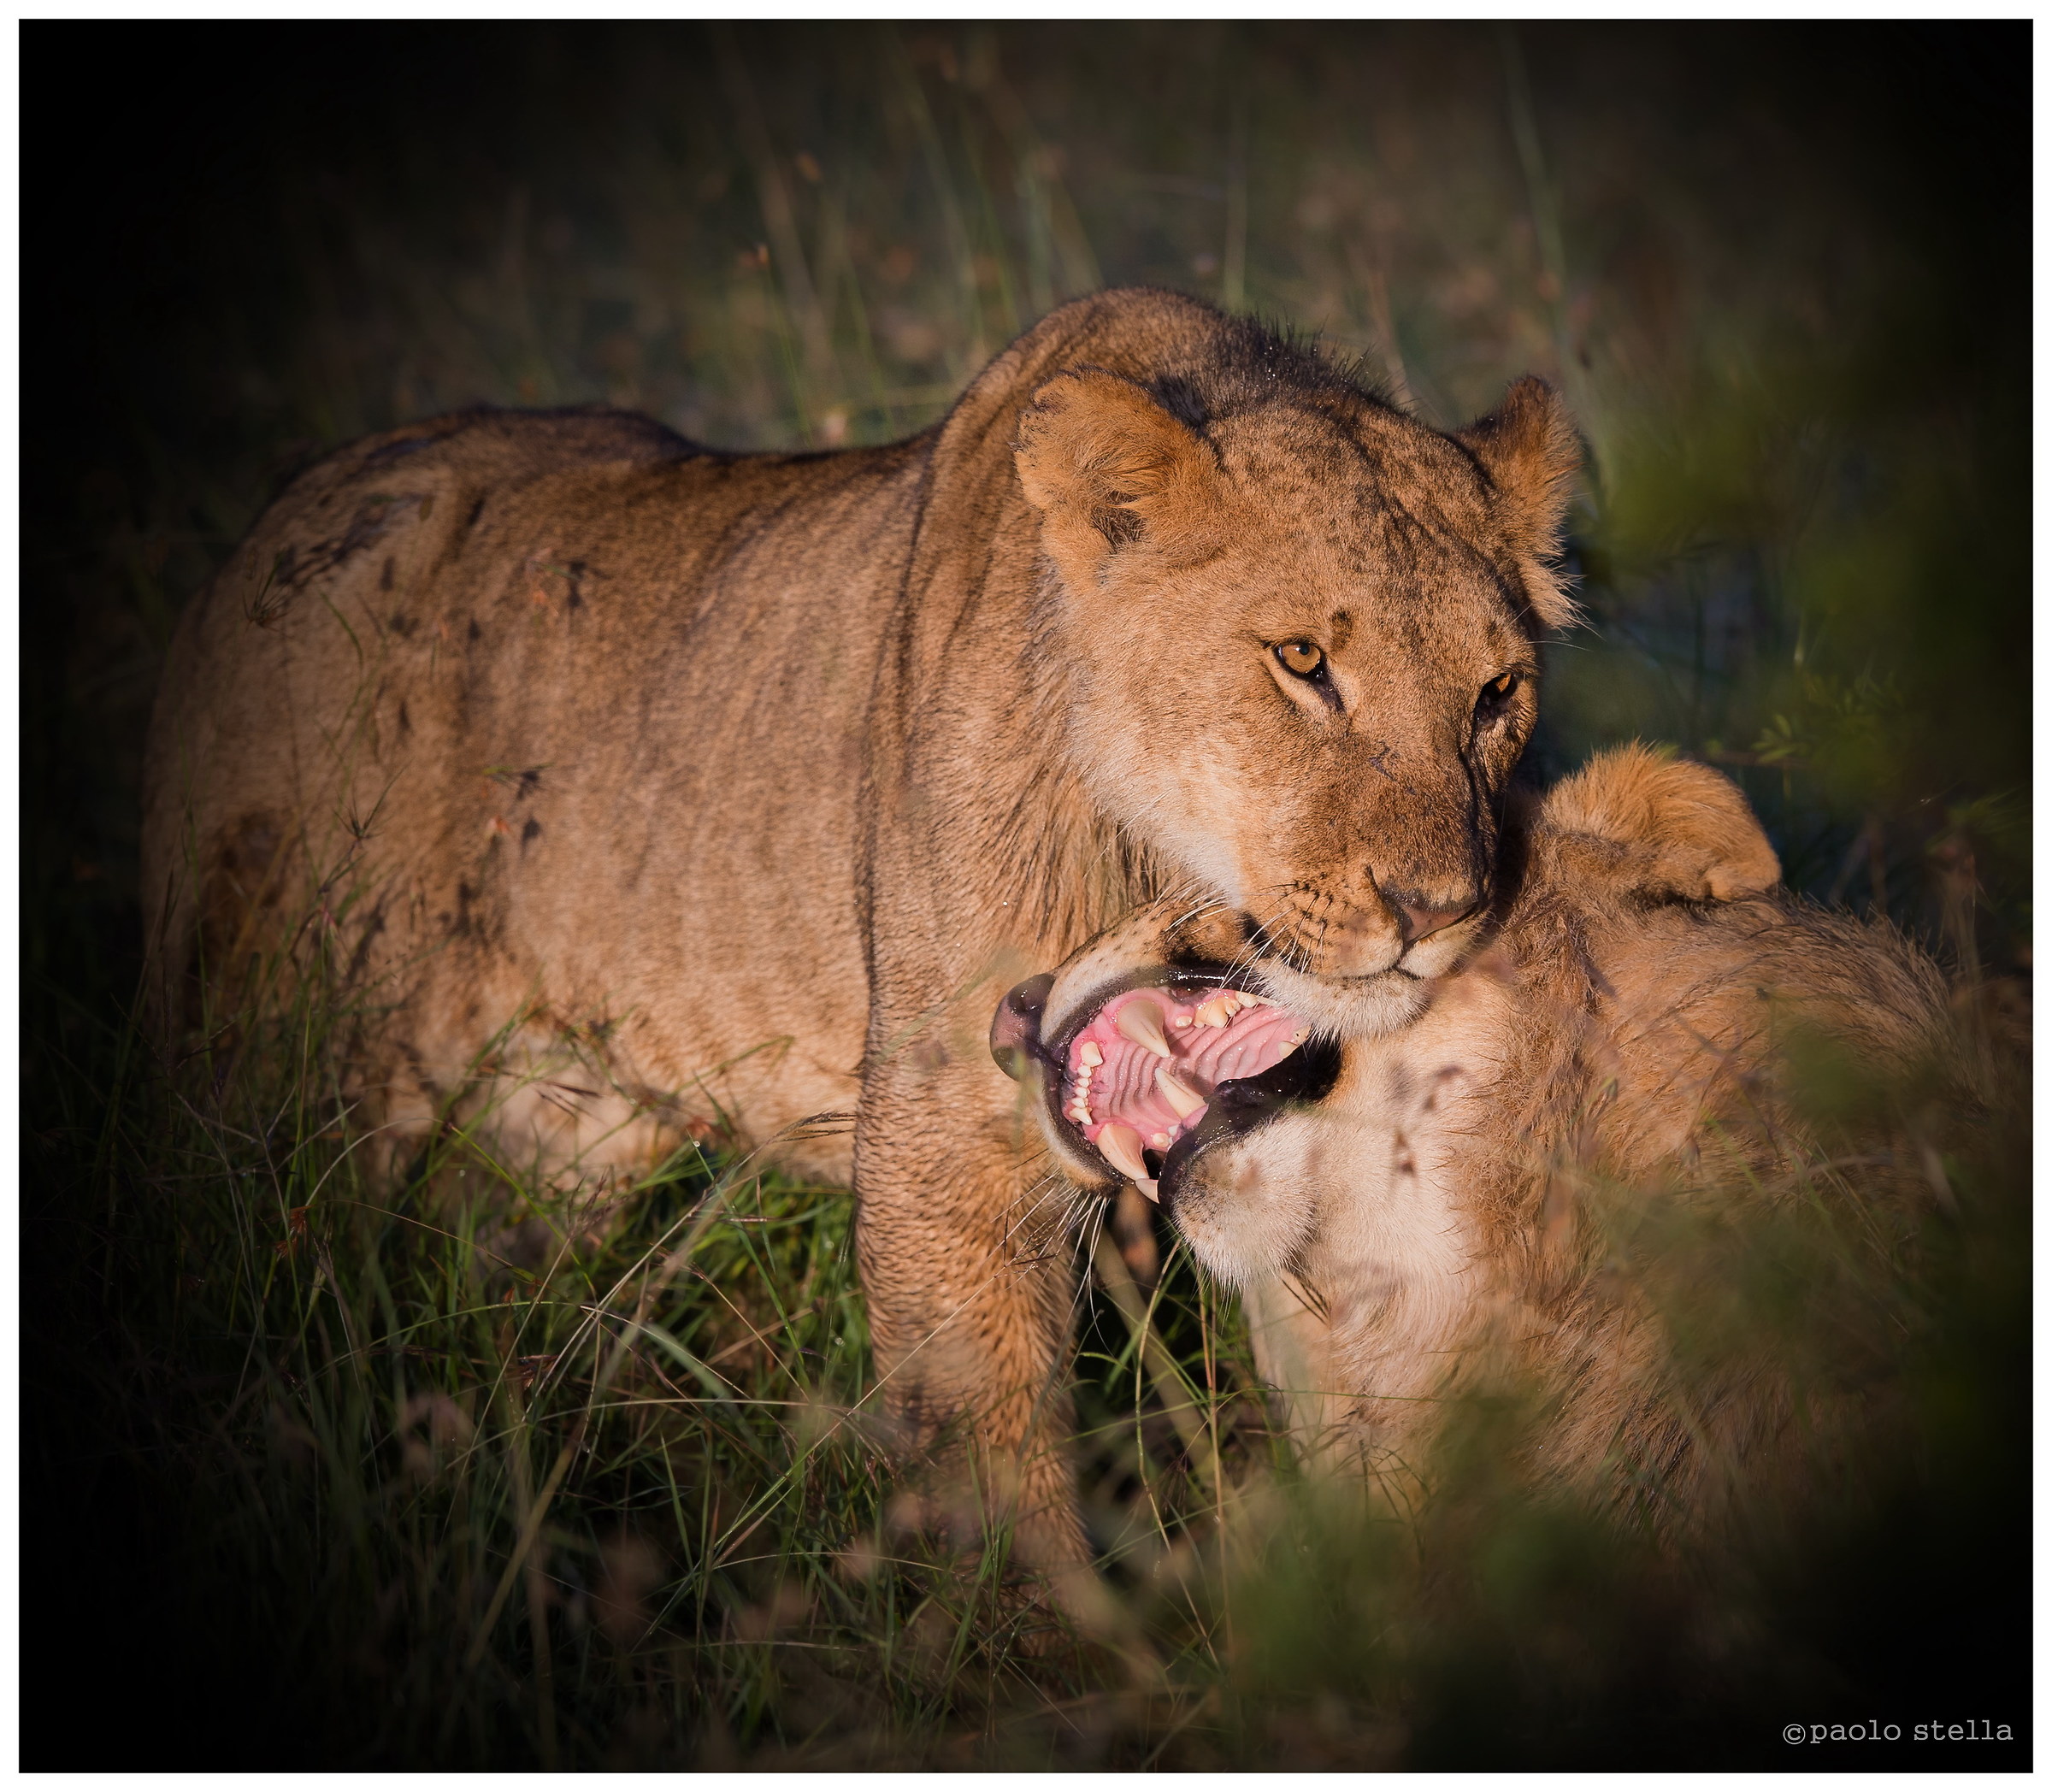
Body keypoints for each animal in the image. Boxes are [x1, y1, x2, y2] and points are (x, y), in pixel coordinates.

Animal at [140, 286, 1579, 1572]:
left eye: (1495, 692)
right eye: (1301, 662)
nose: (1440, 913)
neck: (1157, 855)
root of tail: (266, 525)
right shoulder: (950, 1125)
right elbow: (986, 1449)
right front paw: (1049, 1649)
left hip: (553, 1137)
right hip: (279, 1064)